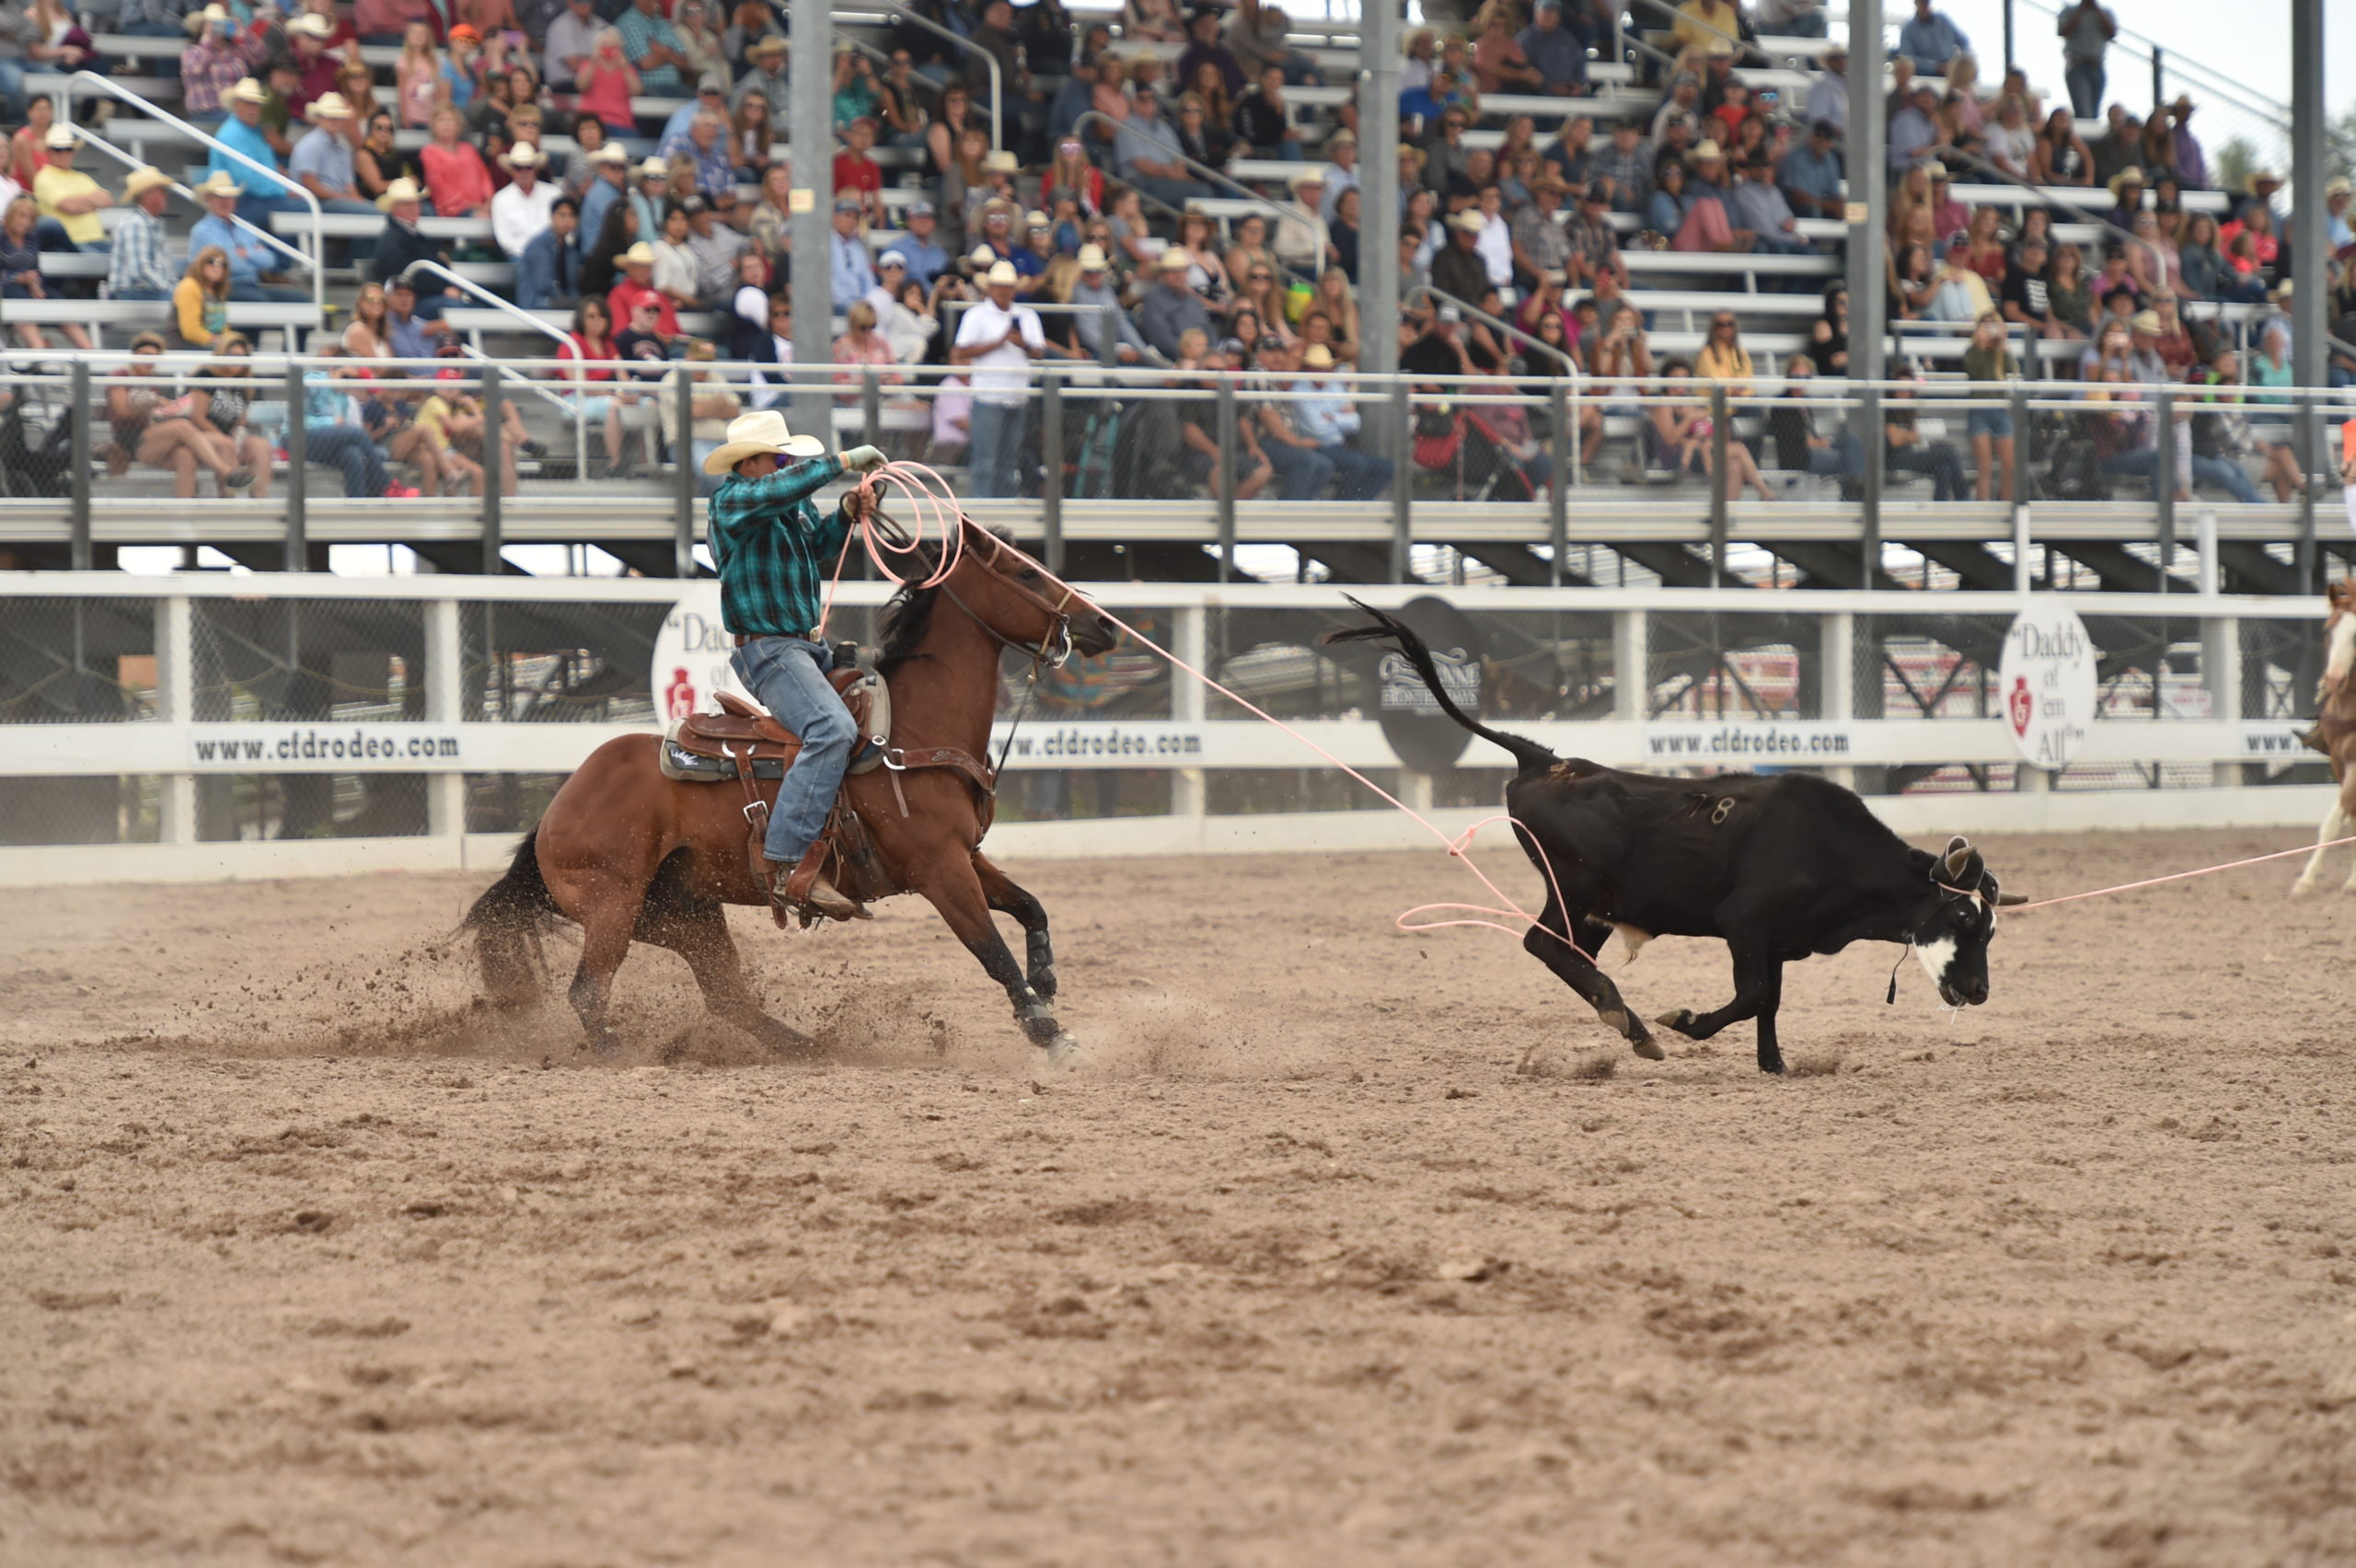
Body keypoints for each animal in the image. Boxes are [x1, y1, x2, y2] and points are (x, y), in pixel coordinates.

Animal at [466, 517, 1121, 1055]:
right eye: (1023, 572)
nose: (1104, 625)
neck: (910, 731)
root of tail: (555, 812)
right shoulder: (940, 869)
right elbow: (990, 950)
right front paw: (1048, 1032)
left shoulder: (966, 855)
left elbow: (1029, 905)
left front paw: (1047, 978)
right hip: (614, 905)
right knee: (589, 991)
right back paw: (618, 1052)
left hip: (685, 914)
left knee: (727, 996)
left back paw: (810, 1047)